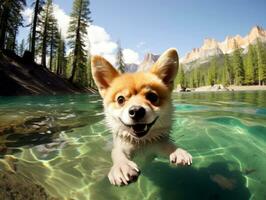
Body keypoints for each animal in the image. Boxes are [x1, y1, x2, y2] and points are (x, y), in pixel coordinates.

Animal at [91, 48, 191, 186]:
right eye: (120, 99)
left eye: (152, 97)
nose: (136, 111)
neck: (141, 142)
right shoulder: (122, 146)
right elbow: (117, 153)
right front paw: (122, 166)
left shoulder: (157, 146)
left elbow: (169, 145)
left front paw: (178, 151)